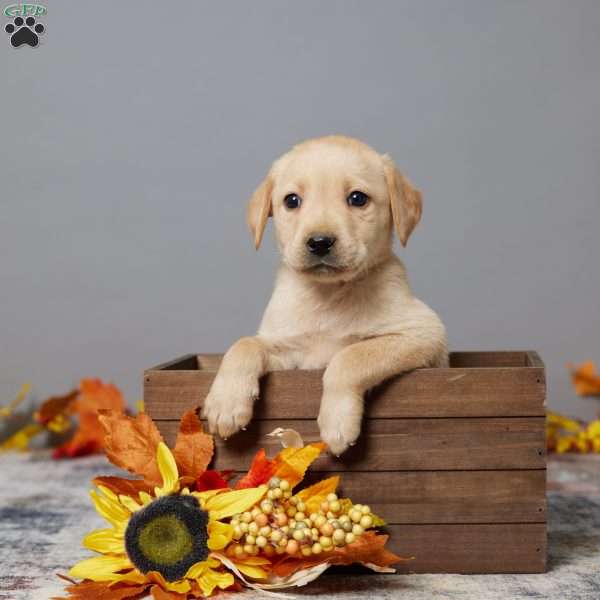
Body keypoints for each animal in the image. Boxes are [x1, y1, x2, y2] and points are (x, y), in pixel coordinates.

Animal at [202, 136, 446, 454]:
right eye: (292, 201)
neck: (329, 296)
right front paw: (226, 402)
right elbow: (244, 344)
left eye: (358, 198)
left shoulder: (422, 332)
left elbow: (350, 355)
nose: (319, 242)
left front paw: (337, 421)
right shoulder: (290, 352)